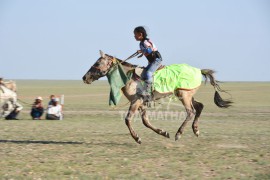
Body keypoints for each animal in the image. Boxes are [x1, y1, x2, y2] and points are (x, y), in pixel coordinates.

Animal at [82, 50, 232, 143]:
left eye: (97, 63)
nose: (85, 77)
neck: (129, 78)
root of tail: (198, 70)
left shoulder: (136, 101)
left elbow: (128, 120)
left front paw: (137, 138)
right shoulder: (141, 103)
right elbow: (146, 122)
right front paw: (163, 132)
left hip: (184, 95)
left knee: (191, 112)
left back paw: (179, 134)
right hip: (186, 94)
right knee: (200, 106)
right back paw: (196, 130)